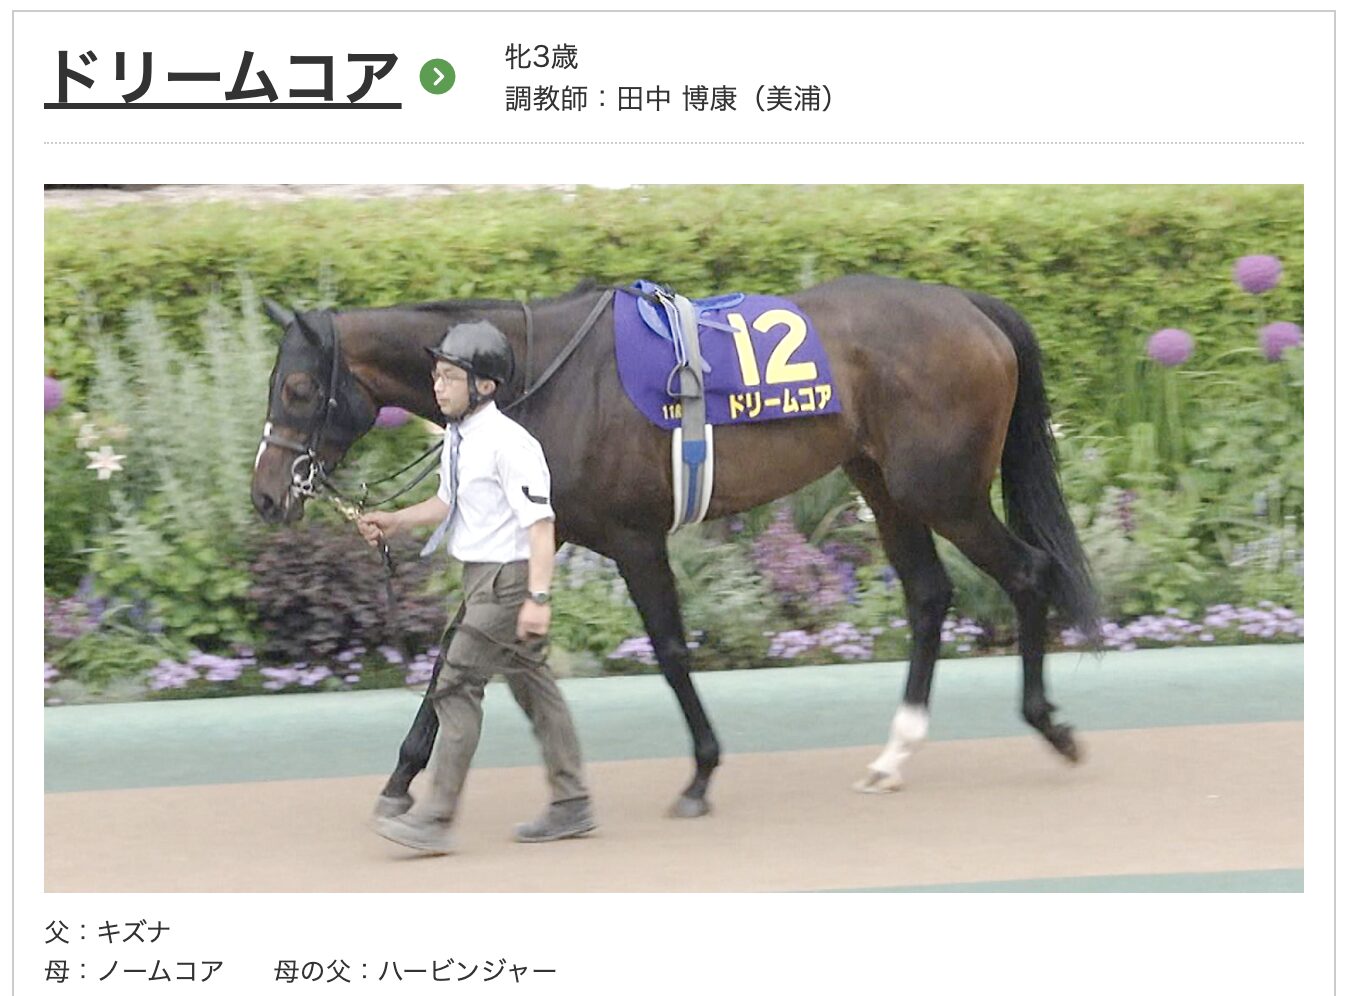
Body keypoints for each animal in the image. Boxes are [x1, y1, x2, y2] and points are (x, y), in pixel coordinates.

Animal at [251, 275, 1100, 819]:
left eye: (297, 389)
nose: (264, 495)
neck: (538, 374)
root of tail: (971, 306)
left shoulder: (634, 537)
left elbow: (668, 648)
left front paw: (700, 773)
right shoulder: (540, 536)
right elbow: (455, 652)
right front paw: (401, 775)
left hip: (942, 491)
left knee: (1029, 571)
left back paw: (1052, 726)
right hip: (884, 483)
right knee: (929, 595)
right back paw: (895, 755)